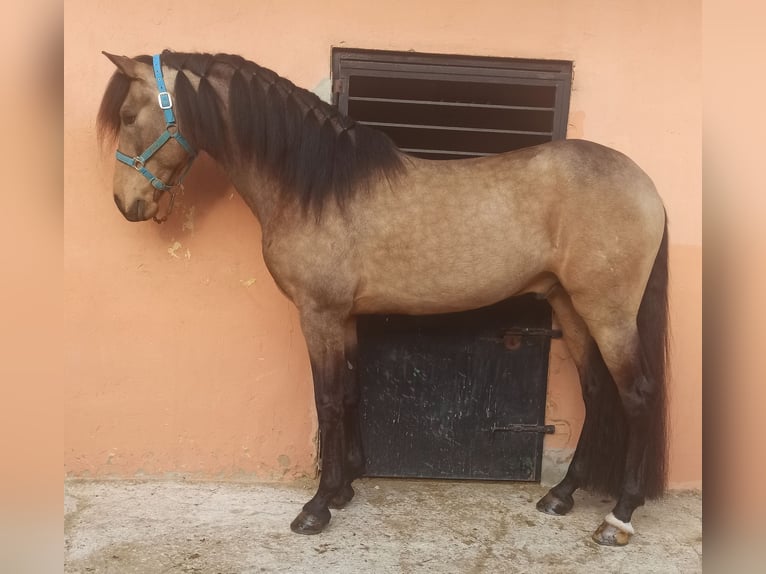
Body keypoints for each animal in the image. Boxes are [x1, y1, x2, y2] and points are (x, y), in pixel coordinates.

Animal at [97, 50, 669, 547]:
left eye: (128, 114)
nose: (127, 203)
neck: (315, 185)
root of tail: (646, 187)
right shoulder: (345, 319)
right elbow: (350, 393)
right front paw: (345, 489)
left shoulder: (319, 316)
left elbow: (327, 400)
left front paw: (317, 507)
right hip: (571, 307)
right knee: (597, 392)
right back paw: (562, 495)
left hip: (608, 312)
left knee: (637, 395)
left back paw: (618, 518)